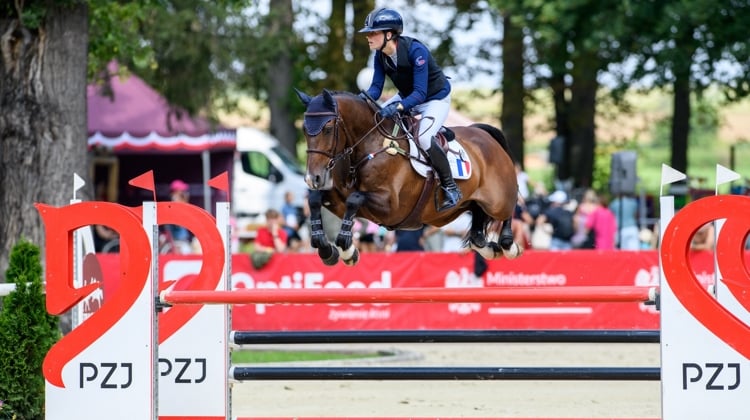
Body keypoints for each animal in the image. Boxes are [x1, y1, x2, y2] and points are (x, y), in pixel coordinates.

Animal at [296, 88, 524, 266]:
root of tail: (484, 134)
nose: (313, 178)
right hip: (461, 207)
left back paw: (508, 245)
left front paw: (346, 250)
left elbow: (355, 198)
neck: (368, 144)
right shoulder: (340, 200)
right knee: (477, 224)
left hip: (497, 200)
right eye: (304, 129)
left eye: (327, 129)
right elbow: (315, 199)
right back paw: (488, 248)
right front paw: (326, 249)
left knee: (510, 206)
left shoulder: (391, 208)